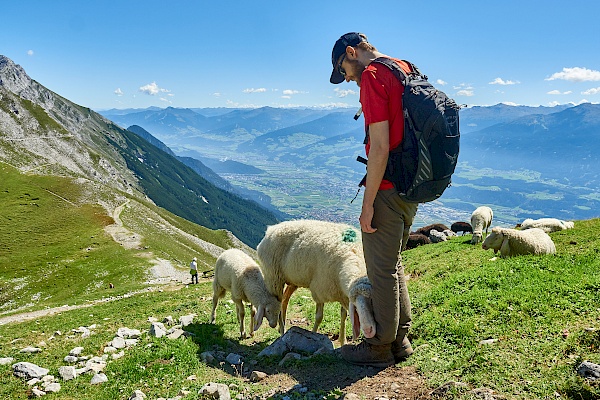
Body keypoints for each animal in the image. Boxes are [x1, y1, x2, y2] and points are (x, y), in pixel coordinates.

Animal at [256, 217, 376, 346]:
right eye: (357, 307)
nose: (368, 330)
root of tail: (271, 229)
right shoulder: (319, 289)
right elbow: (319, 317)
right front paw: (312, 335)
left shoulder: (341, 292)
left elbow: (343, 315)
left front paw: (343, 341)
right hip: (274, 278)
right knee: (278, 303)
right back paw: (282, 331)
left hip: (293, 280)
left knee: (285, 299)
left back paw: (281, 328)